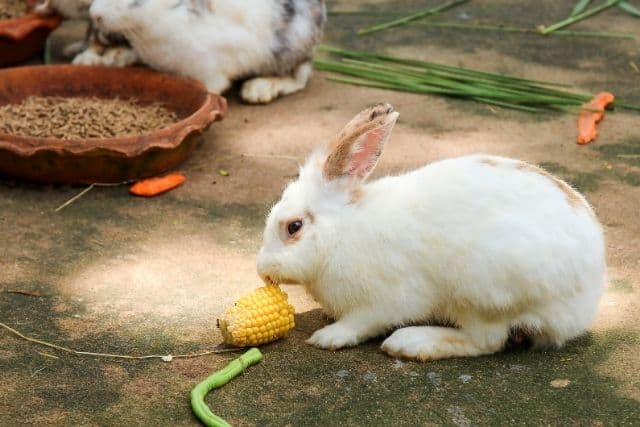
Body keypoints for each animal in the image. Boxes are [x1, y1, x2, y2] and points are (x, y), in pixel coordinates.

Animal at [87, 0, 326, 103]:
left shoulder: (209, 67)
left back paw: (258, 90)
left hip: (292, 46)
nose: (94, 14)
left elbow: (211, 88)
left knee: (300, 77)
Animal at [257, 103, 607, 361]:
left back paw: (411, 343)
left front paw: (328, 337)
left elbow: (363, 322)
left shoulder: (387, 300)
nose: (262, 270)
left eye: (294, 226)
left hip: (481, 291)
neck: (341, 232)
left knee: (486, 341)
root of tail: (587, 298)